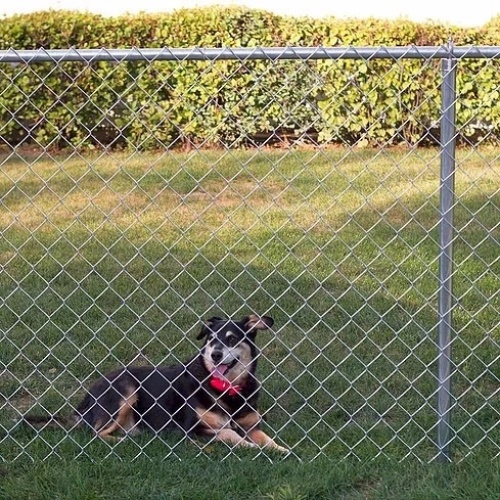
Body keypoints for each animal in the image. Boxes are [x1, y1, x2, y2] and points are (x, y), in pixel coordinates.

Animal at [24, 314, 290, 452]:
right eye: (211, 338)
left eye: (232, 339)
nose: (215, 354)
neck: (228, 389)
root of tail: (86, 398)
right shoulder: (192, 429)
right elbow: (229, 433)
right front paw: (250, 447)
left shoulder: (251, 425)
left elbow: (268, 439)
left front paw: (281, 449)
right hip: (125, 390)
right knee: (95, 433)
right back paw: (121, 441)